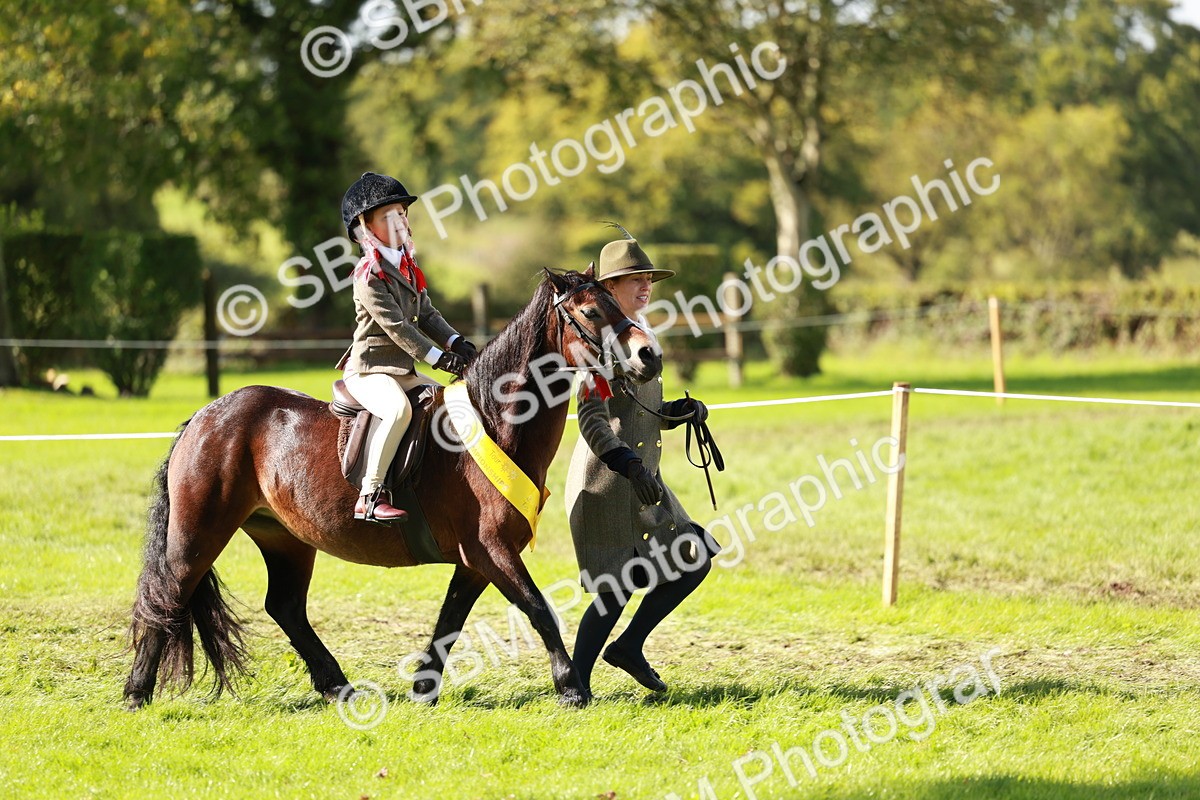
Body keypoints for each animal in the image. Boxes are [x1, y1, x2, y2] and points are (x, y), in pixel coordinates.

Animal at [123, 266, 661, 710]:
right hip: (200, 532)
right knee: (169, 594)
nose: (649, 355)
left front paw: (424, 687)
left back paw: (338, 687)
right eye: (590, 312)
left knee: (285, 608)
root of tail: (206, 415)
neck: (494, 422)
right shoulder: (491, 549)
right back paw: (136, 693)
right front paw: (570, 686)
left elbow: (450, 620)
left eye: (617, 304)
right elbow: (538, 609)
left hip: (285, 538)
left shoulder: (476, 559)